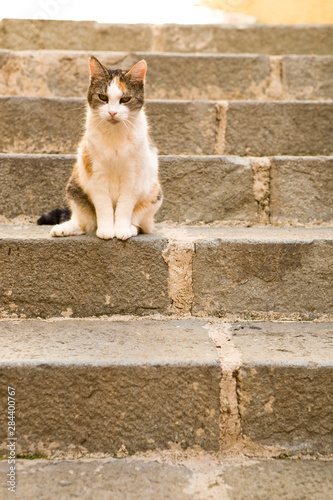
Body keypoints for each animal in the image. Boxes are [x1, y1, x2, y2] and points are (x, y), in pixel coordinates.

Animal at [40, 55, 162, 240]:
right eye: (103, 97)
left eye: (125, 99)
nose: (112, 112)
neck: (114, 137)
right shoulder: (96, 174)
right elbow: (103, 206)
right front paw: (106, 229)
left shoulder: (132, 177)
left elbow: (124, 206)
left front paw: (121, 229)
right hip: (75, 188)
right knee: (85, 223)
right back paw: (64, 228)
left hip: (154, 195)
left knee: (140, 224)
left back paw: (131, 228)